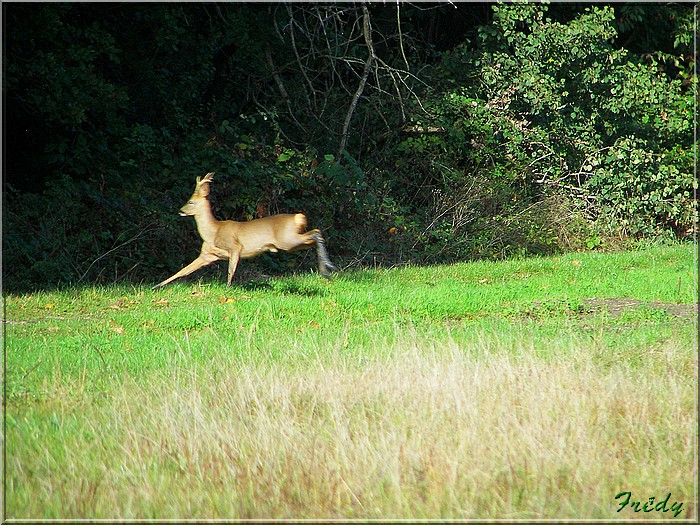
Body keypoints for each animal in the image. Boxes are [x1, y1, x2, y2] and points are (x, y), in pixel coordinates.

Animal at [152, 172, 338, 288]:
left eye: (191, 201)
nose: (180, 210)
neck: (213, 231)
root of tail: (298, 217)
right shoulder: (207, 254)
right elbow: (183, 270)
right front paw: (156, 285)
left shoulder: (235, 247)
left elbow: (231, 269)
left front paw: (228, 287)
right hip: (291, 242)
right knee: (314, 237)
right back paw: (327, 269)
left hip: (287, 240)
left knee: (316, 231)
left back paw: (327, 269)